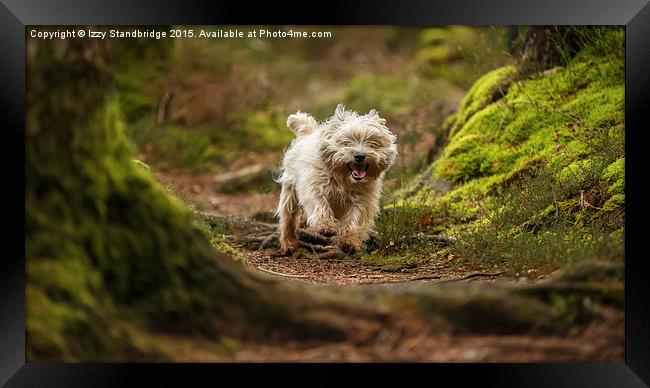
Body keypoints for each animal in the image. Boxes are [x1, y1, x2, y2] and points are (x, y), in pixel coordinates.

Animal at [274, 104, 394, 255]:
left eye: (371, 143)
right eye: (346, 143)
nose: (360, 156)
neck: (344, 179)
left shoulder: (363, 200)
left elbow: (355, 218)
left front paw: (349, 241)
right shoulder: (314, 187)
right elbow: (319, 204)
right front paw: (325, 227)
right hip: (289, 191)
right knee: (287, 219)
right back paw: (288, 244)